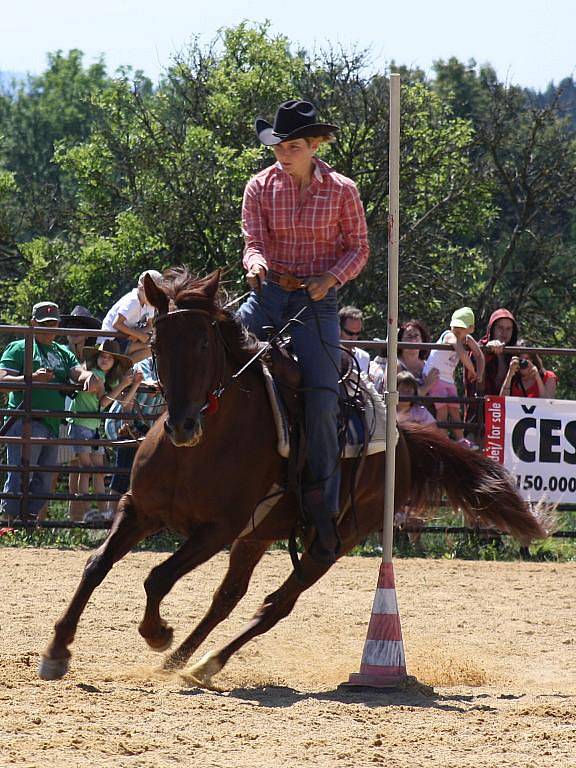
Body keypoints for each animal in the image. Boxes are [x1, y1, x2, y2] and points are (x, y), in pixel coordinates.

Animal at [39, 270, 544, 684]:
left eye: (203, 344)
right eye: (158, 345)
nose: (182, 425)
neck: (200, 448)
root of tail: (402, 439)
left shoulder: (216, 529)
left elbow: (156, 578)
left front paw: (157, 631)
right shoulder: (139, 509)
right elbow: (97, 565)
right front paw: (57, 650)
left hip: (334, 539)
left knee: (276, 604)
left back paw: (205, 662)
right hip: (258, 535)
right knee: (229, 596)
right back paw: (182, 662)